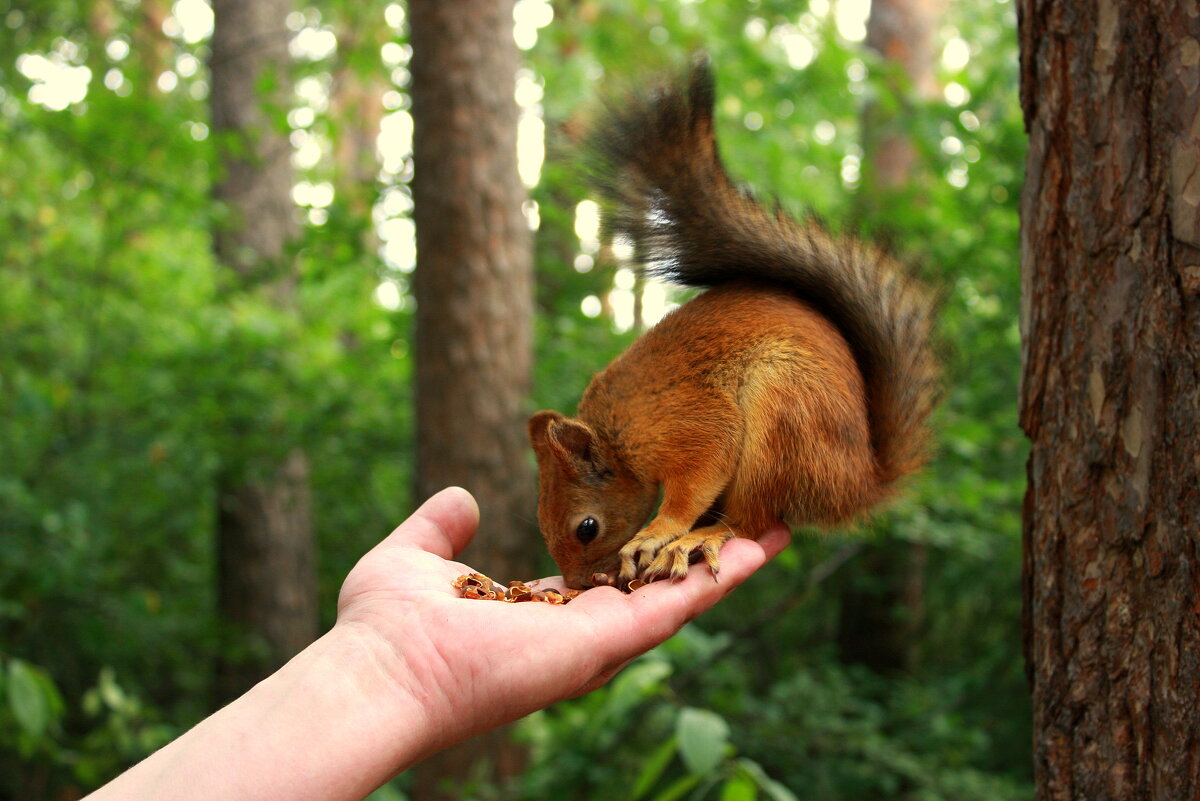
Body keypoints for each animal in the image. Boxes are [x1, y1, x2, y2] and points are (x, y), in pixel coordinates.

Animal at [528, 59, 936, 587]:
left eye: (587, 527)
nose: (578, 584)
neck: (618, 435)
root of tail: (857, 487)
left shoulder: (687, 424)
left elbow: (700, 472)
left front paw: (659, 530)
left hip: (784, 418)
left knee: (751, 521)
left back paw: (699, 537)